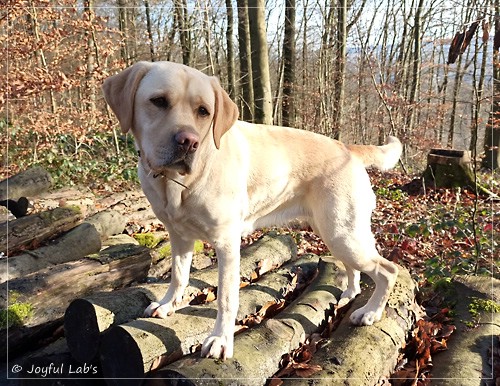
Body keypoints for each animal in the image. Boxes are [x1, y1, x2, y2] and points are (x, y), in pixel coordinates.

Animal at [103, 60, 404, 358]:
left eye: (204, 111)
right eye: (159, 101)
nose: (189, 142)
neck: (180, 181)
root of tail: (348, 149)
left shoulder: (227, 243)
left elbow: (226, 298)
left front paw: (220, 339)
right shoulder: (179, 236)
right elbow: (179, 276)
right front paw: (167, 304)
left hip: (343, 233)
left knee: (389, 270)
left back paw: (370, 312)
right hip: (334, 232)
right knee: (354, 267)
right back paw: (350, 293)